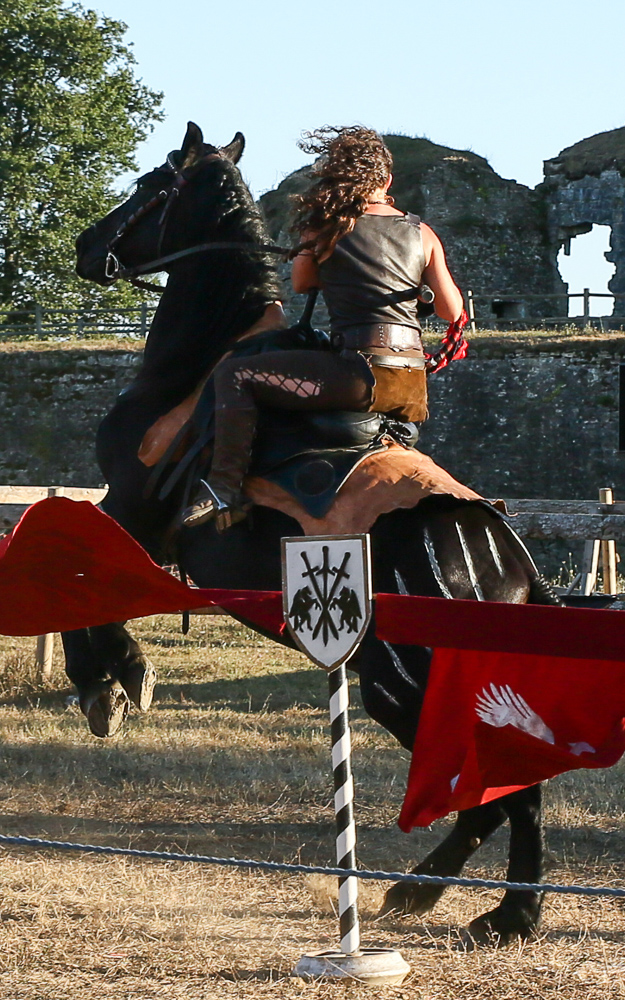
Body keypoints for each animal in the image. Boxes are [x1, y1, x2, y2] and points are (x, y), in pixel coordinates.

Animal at [66, 123, 560, 944]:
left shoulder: (133, 506)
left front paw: (111, 679)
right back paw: (433, 895)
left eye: (147, 186)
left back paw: (505, 911)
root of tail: (504, 563)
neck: (196, 361)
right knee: (492, 793)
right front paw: (114, 675)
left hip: (403, 683)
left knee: (505, 790)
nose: (86, 245)